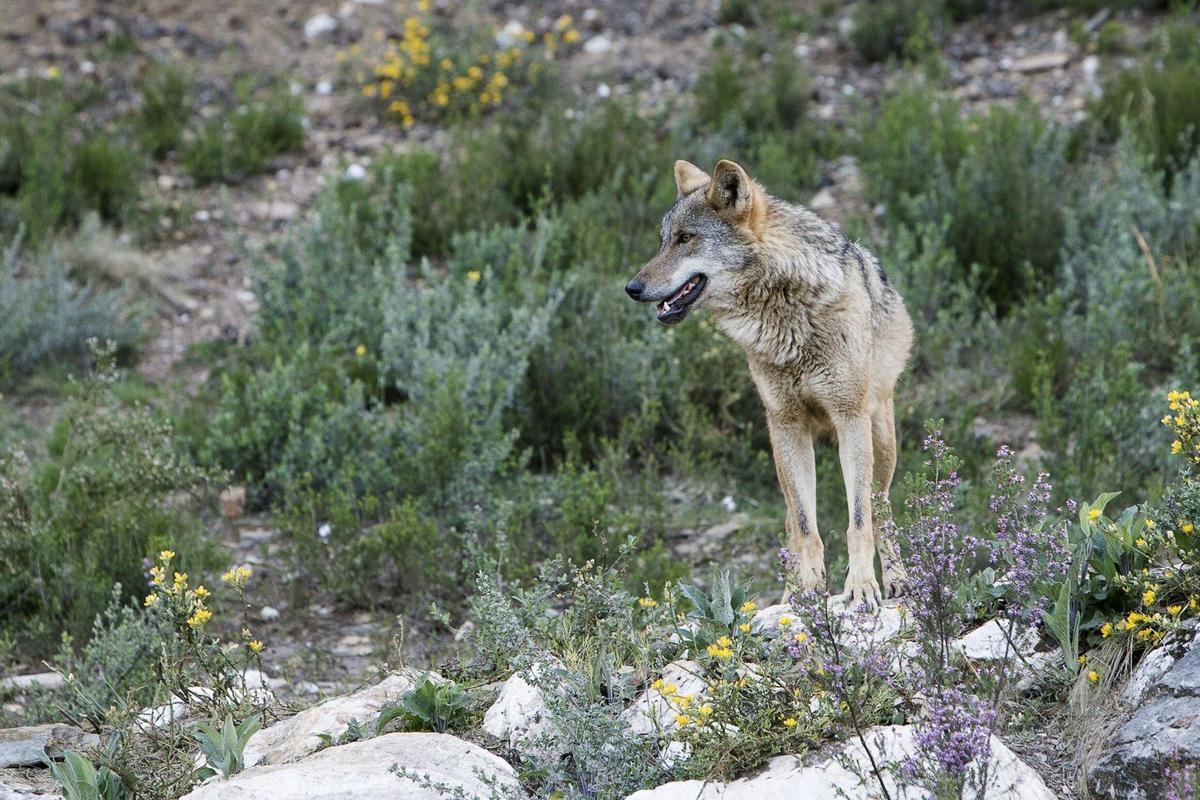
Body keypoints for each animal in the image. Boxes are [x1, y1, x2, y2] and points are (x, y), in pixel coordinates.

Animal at [624, 159, 912, 604]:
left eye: (686, 238)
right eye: (663, 241)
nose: (632, 288)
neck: (787, 312)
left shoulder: (849, 418)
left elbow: (859, 521)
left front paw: (862, 586)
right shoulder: (787, 424)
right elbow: (806, 526)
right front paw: (807, 590)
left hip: (880, 439)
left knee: (881, 510)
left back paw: (896, 579)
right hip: (781, 448)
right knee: (794, 521)